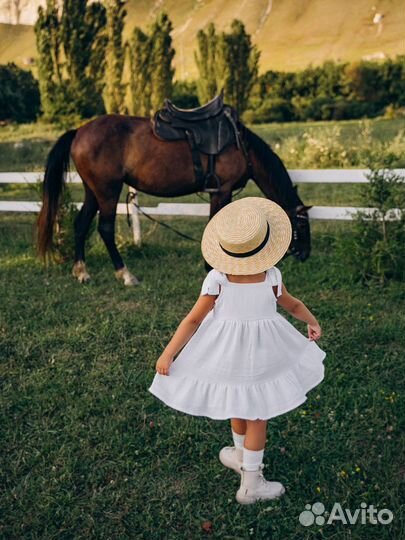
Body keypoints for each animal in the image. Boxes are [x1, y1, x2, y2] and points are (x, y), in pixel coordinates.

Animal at [37, 112, 310, 284]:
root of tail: (79, 131)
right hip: (108, 192)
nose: (305, 254)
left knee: (81, 224)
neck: (241, 145)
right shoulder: (222, 191)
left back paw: (81, 271)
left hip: (92, 191)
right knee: (105, 229)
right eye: (302, 224)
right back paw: (125, 274)